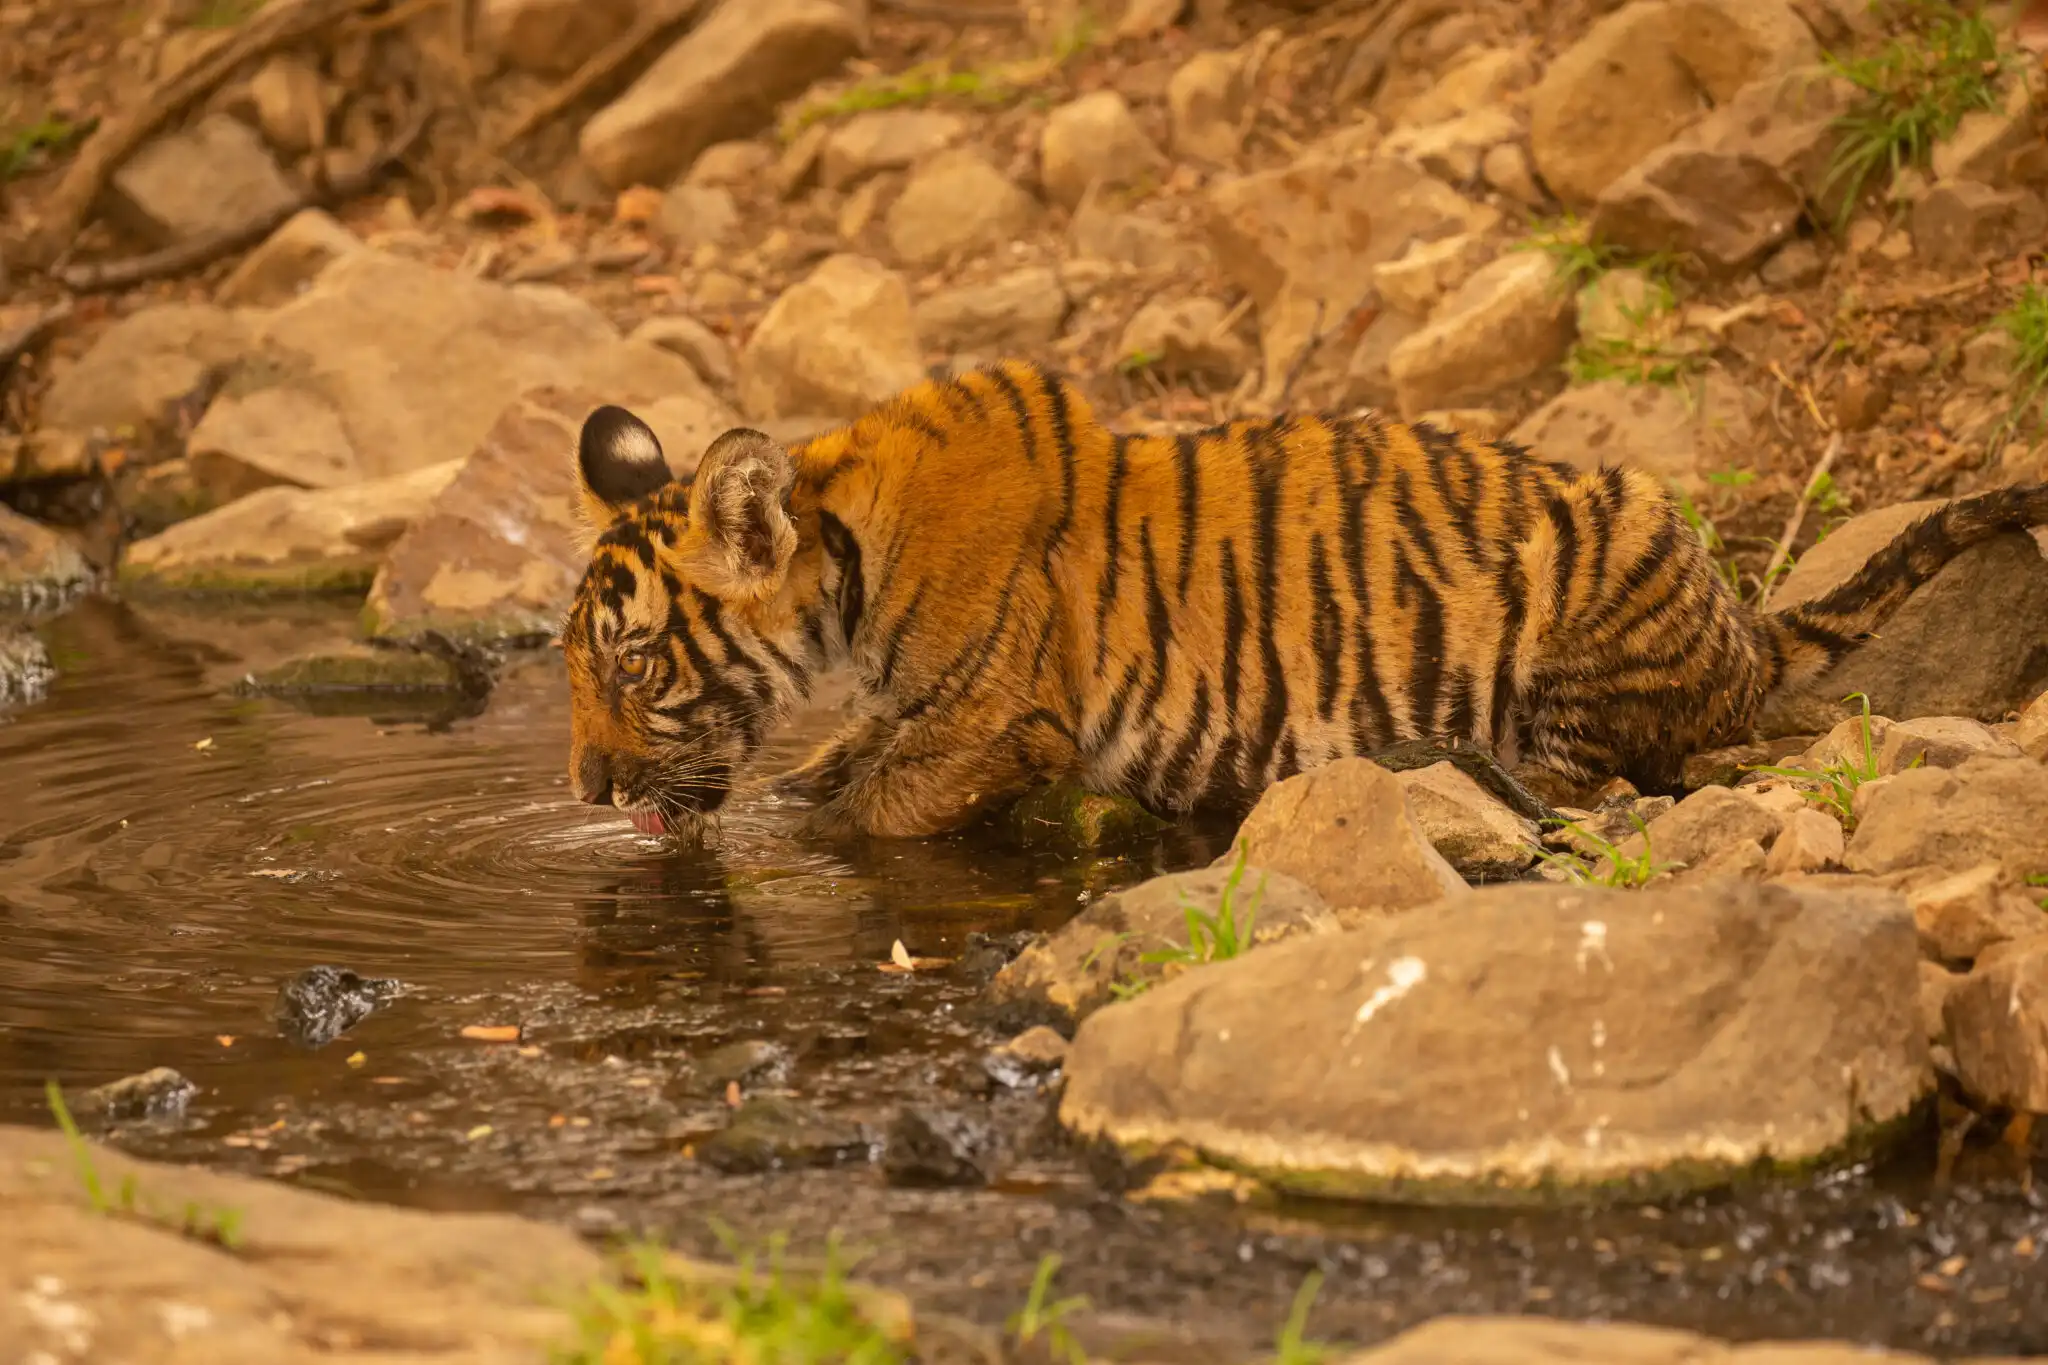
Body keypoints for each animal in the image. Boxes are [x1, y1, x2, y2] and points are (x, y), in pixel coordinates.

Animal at [560, 357, 2048, 843]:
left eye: (633, 666)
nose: (581, 788)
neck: (844, 575)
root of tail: (1739, 613)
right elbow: (833, 766)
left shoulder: (995, 725)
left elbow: (866, 809)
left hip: (1594, 584)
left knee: (1614, 776)